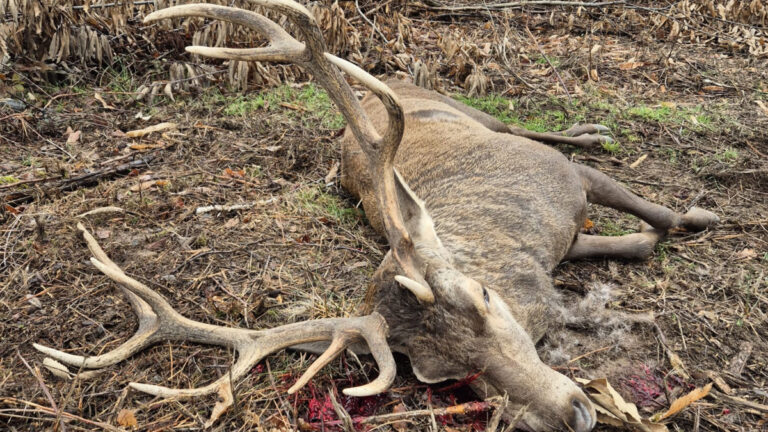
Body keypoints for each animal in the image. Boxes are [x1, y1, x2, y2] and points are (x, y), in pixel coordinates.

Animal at [33, 1, 720, 431]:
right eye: (442, 376)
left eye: (484, 301)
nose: (574, 413)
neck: (523, 255)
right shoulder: (567, 240)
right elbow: (638, 243)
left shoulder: (566, 182)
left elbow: (656, 215)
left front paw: (701, 214)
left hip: (478, 114)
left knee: (531, 127)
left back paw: (594, 131)